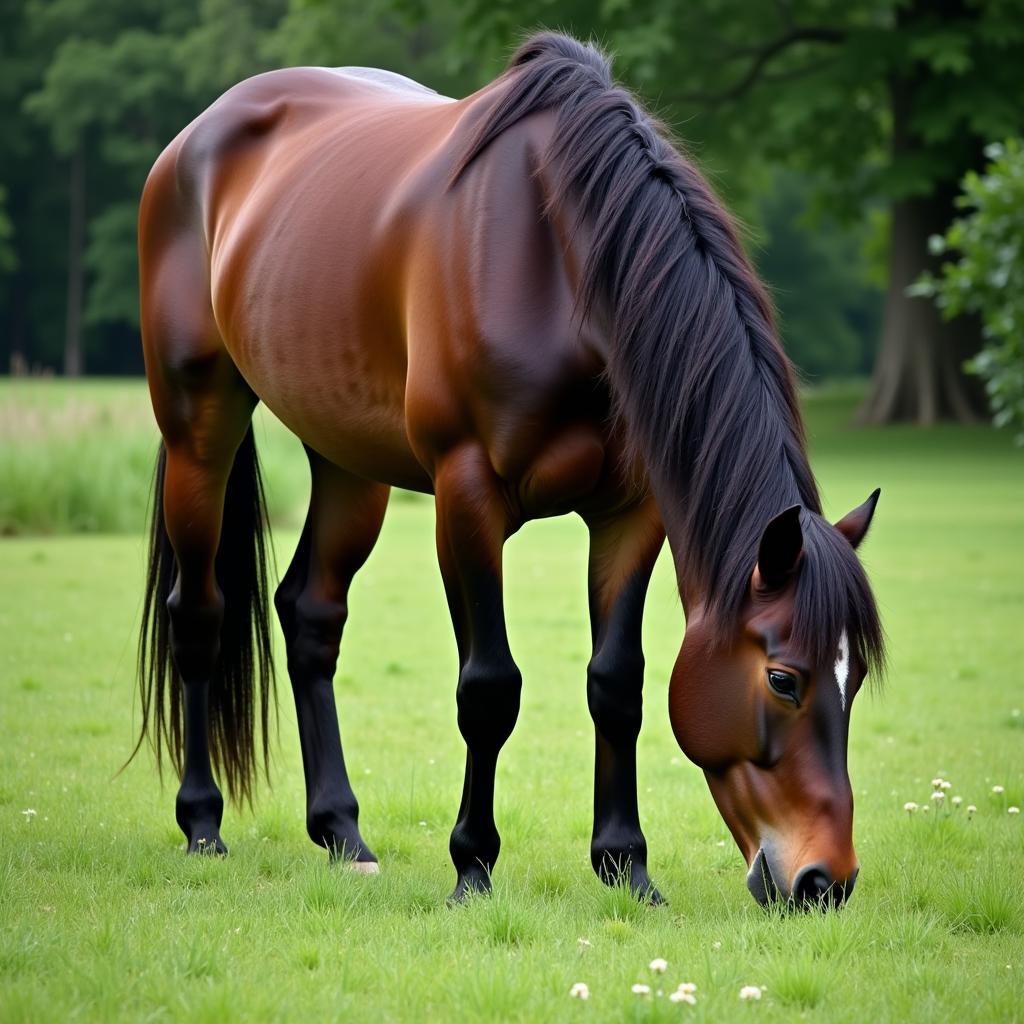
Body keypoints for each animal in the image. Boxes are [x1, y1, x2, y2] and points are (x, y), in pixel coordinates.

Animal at [138, 34, 888, 905]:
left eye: (854, 679)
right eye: (784, 680)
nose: (825, 881)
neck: (560, 265)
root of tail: (196, 136)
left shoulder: (632, 514)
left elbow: (617, 682)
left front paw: (625, 863)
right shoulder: (467, 498)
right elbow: (489, 687)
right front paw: (472, 865)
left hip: (349, 462)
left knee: (312, 615)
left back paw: (342, 831)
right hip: (200, 428)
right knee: (200, 613)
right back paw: (202, 822)